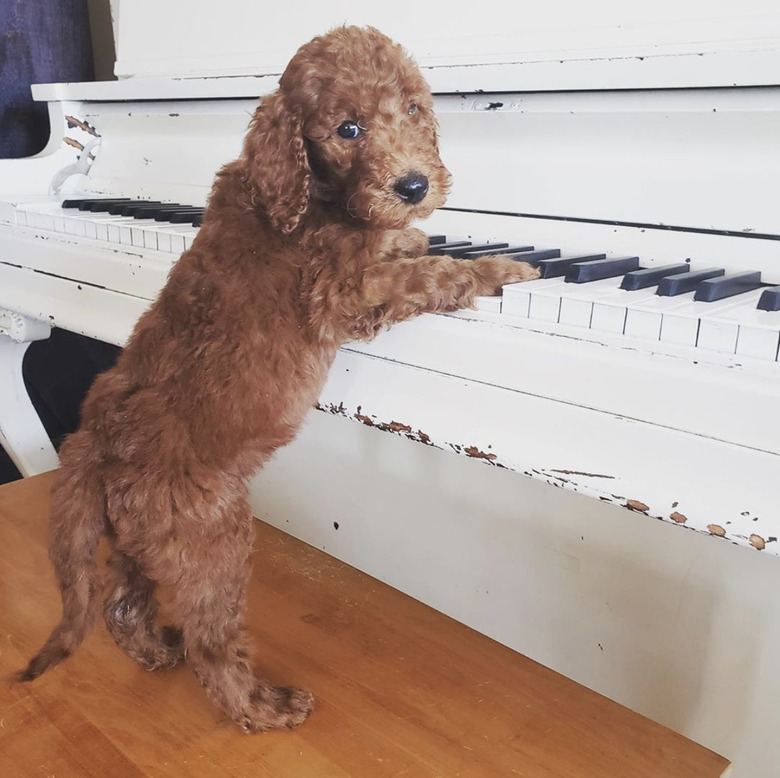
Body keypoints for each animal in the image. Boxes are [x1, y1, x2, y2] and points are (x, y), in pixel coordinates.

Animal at [19, 22, 544, 728]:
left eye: (413, 109)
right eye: (348, 129)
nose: (412, 187)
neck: (307, 190)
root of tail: (90, 450)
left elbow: (408, 247)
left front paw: (420, 235)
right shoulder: (341, 294)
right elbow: (428, 273)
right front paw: (501, 268)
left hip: (142, 537)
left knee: (122, 603)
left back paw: (156, 652)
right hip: (211, 541)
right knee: (212, 645)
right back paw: (263, 707)